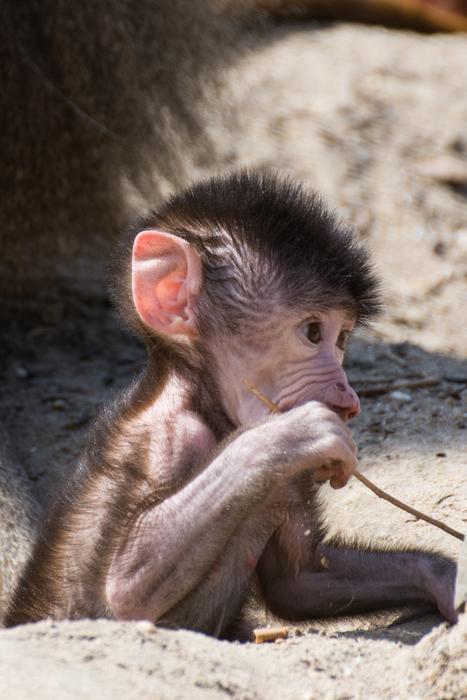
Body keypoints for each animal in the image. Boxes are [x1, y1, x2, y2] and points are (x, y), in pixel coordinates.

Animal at [5, 171, 457, 636]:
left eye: (342, 338)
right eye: (313, 332)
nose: (348, 398)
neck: (206, 405)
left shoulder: (286, 483)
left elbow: (301, 582)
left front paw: (447, 580)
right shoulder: (164, 441)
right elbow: (123, 597)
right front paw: (291, 434)